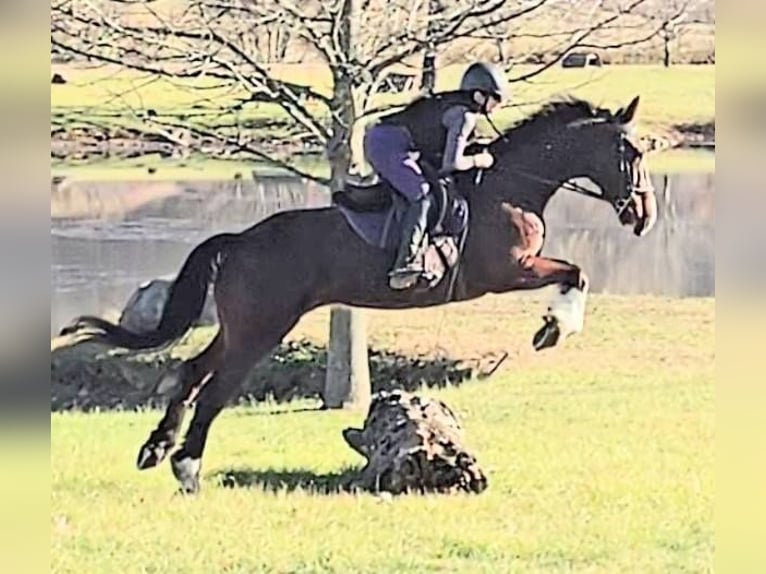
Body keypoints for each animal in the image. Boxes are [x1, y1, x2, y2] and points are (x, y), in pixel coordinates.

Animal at [61, 95, 658, 493]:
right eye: (631, 150)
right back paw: (187, 471)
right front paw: (554, 328)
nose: (645, 215)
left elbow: (576, 273)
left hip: (241, 325)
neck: (512, 186)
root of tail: (238, 240)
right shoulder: (507, 270)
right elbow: (577, 273)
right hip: (261, 329)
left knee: (191, 371)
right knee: (214, 392)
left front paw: (553, 326)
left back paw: (157, 450)